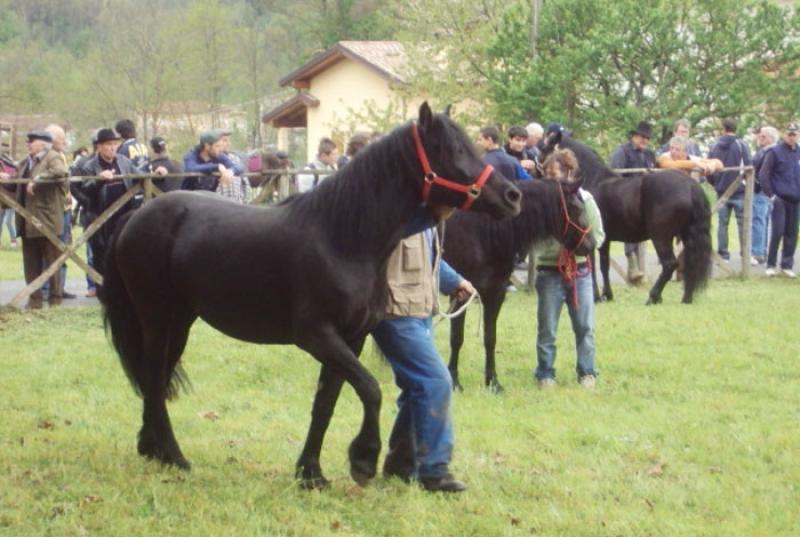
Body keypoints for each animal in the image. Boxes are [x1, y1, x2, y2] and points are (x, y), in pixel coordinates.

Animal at [99, 103, 522, 490]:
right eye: (453, 150)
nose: (512, 195)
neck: (342, 238)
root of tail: (135, 217)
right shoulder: (317, 336)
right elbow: (370, 389)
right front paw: (363, 459)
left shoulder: (351, 337)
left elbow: (326, 403)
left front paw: (311, 473)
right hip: (156, 317)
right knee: (154, 378)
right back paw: (174, 456)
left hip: (180, 322)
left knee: (157, 378)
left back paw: (151, 447)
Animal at [443, 178, 597, 392]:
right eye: (576, 208)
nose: (591, 245)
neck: (482, 233)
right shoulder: (460, 294)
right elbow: (456, 338)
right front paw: (455, 381)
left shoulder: (496, 292)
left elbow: (490, 338)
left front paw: (493, 382)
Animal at [540, 132, 712, 305]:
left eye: (544, 148)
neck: (595, 179)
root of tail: (691, 186)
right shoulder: (605, 240)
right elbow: (604, 265)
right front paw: (607, 295)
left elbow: (593, 265)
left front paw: (597, 296)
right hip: (686, 235)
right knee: (690, 263)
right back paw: (686, 298)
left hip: (660, 237)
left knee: (670, 264)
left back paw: (653, 296)